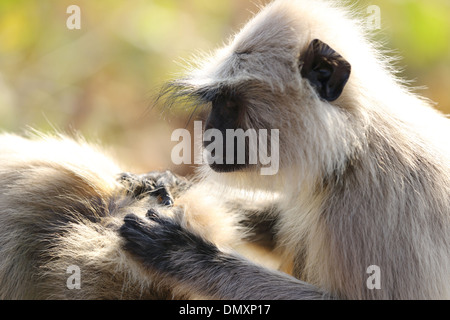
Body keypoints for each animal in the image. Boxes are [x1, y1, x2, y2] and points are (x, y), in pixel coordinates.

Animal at [119, 0, 450, 300]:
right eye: (218, 101)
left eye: (229, 102)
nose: (208, 135)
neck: (354, 145)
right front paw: (165, 183)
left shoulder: (379, 203)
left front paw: (179, 251)